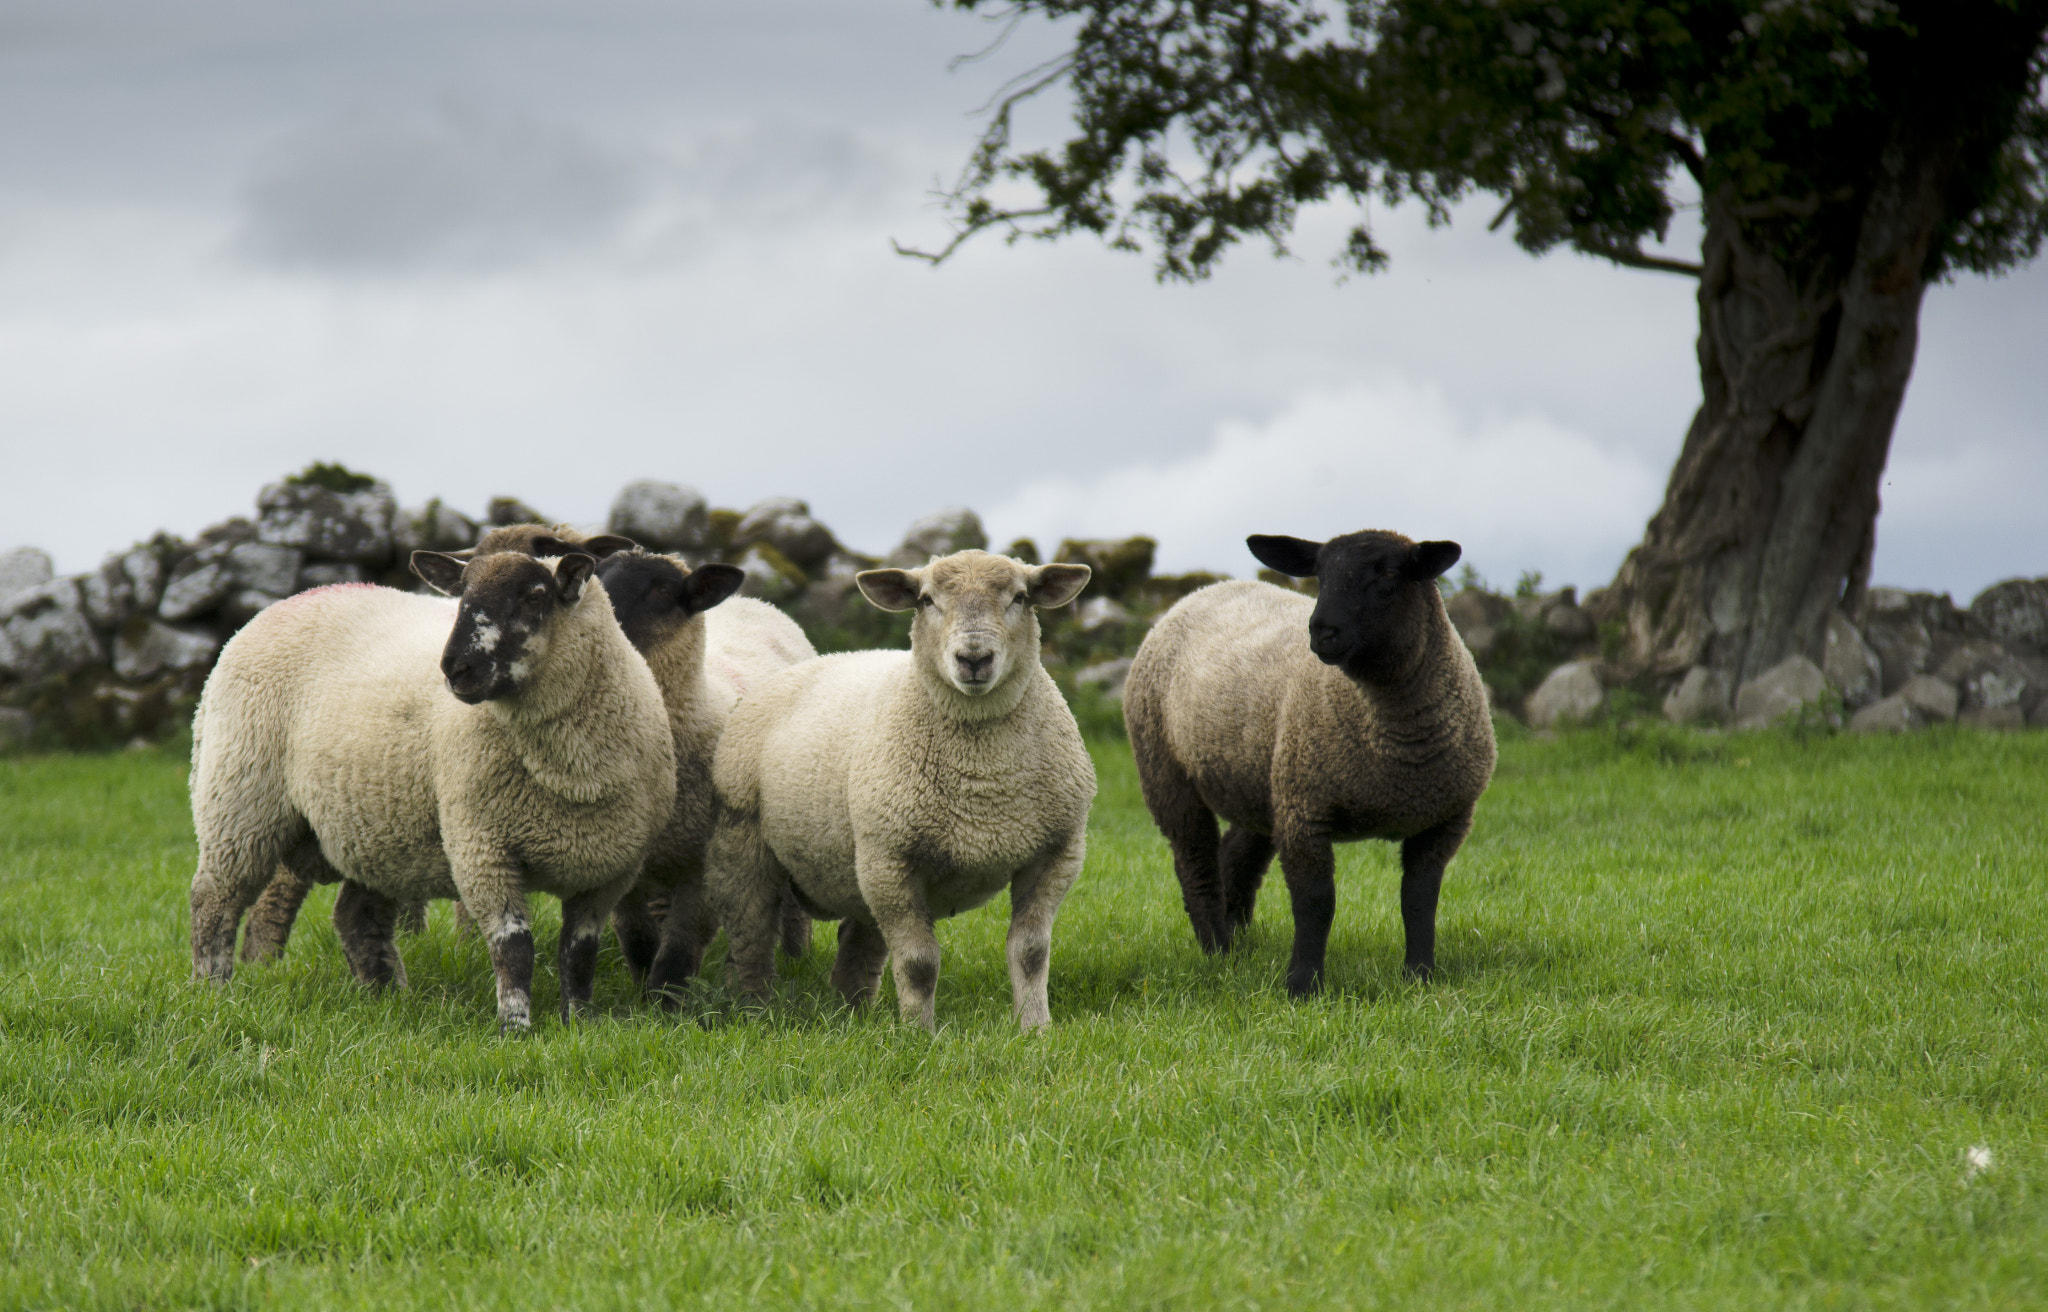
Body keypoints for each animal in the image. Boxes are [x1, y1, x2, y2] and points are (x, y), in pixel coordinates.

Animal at [188, 548, 675, 1027]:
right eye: (461, 595)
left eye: (534, 597)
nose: (455, 668)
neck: (569, 776)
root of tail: (288, 601)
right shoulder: (482, 848)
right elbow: (514, 946)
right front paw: (515, 1027)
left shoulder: (610, 870)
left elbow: (579, 953)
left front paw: (579, 1021)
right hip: (239, 803)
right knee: (213, 902)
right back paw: (213, 992)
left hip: (376, 829)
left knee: (355, 914)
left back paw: (386, 996)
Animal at [589, 548, 819, 998]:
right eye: (597, 579)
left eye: (663, 591)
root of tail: (752, 601)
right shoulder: (624, 852)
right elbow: (637, 937)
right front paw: (642, 991)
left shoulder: (704, 861)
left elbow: (681, 946)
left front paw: (666, 1001)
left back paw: (794, 957)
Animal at [704, 548, 1097, 1027]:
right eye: (926, 600)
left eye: (1020, 597)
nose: (974, 657)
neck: (984, 783)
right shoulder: (891, 860)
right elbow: (918, 962)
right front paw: (919, 1033)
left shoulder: (1056, 852)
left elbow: (1031, 952)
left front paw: (1034, 1029)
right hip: (744, 837)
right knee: (750, 932)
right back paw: (753, 1010)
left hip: (857, 869)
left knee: (857, 942)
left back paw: (852, 1013)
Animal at [1130, 528, 1499, 990]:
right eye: (1320, 574)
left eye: (1390, 574)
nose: (1322, 631)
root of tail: (1205, 590)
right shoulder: (1305, 812)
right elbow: (1316, 902)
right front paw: (1303, 985)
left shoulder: (1446, 820)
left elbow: (1419, 899)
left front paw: (1419, 976)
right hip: (1167, 771)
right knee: (1195, 861)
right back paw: (1217, 949)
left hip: (1263, 779)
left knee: (1236, 854)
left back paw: (1238, 941)